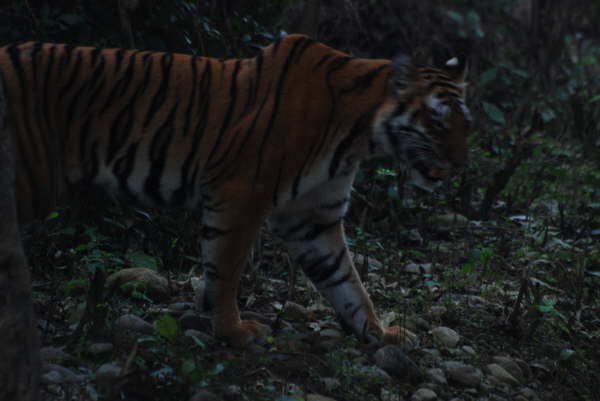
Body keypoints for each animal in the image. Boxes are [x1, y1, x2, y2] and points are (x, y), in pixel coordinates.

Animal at [0, 33, 468, 396]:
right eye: (437, 122)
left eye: (465, 123)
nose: (461, 165)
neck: (359, 134)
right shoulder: (240, 194)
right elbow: (226, 269)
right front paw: (233, 331)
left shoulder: (313, 216)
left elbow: (346, 281)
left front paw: (380, 333)